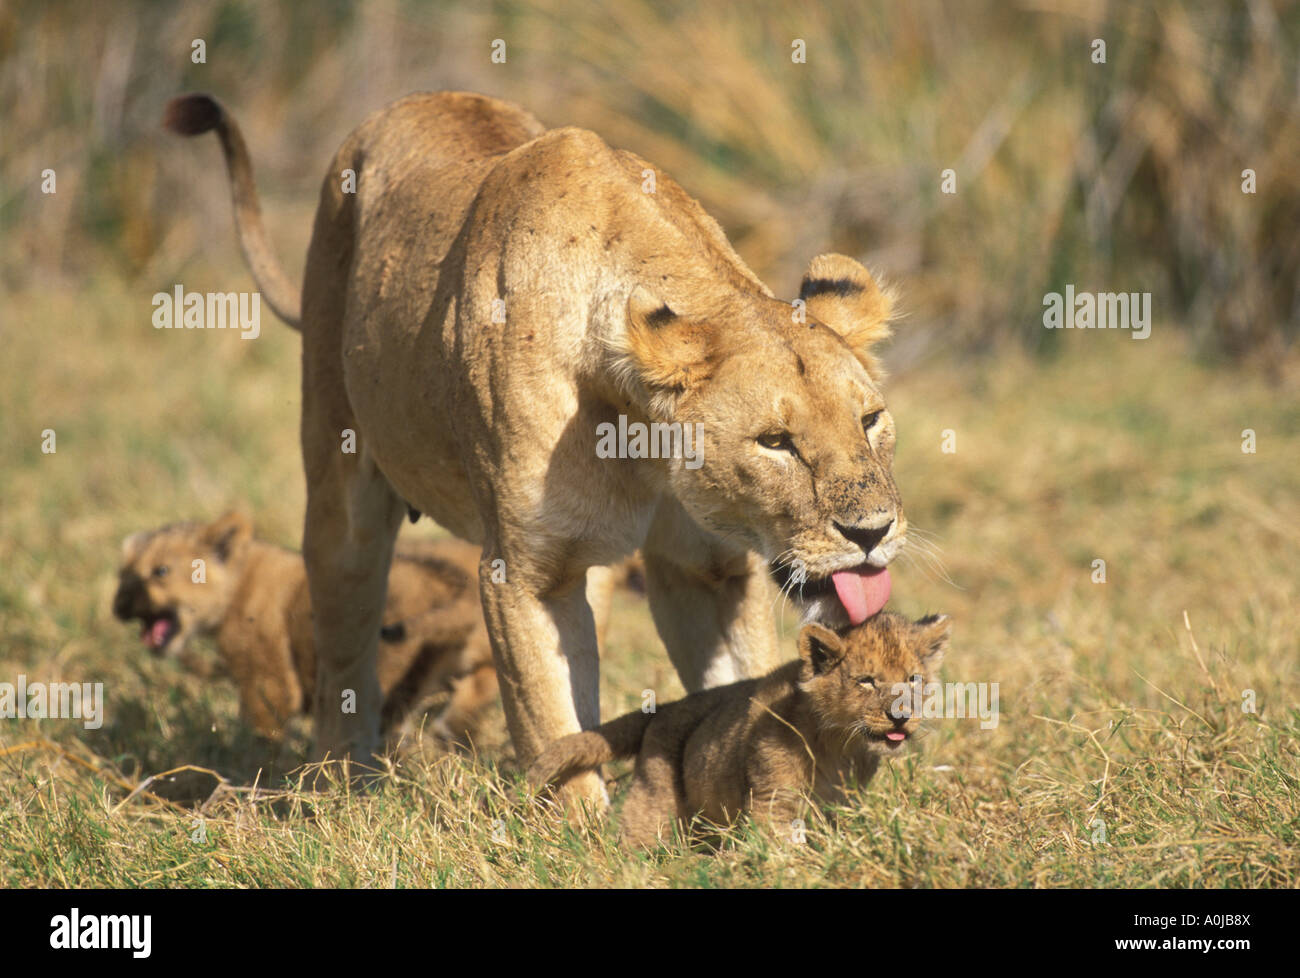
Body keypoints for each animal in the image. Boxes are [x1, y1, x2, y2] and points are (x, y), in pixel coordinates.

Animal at [112, 511, 497, 746]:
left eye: (160, 571)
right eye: (123, 574)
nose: (118, 606)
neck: (239, 582)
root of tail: (450, 581)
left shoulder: (268, 680)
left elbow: (262, 732)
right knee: (480, 684)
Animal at [163, 90, 908, 801]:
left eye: (870, 420)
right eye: (775, 442)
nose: (872, 532)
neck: (644, 439)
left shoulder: (712, 568)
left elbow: (739, 681)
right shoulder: (523, 572)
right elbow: (552, 725)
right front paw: (585, 832)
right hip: (340, 482)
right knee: (343, 638)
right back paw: (345, 786)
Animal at [528, 611, 950, 847]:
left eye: (912, 679)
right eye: (866, 681)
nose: (901, 716)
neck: (839, 744)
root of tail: (664, 707)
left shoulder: (841, 803)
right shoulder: (773, 800)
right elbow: (782, 849)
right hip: (655, 799)